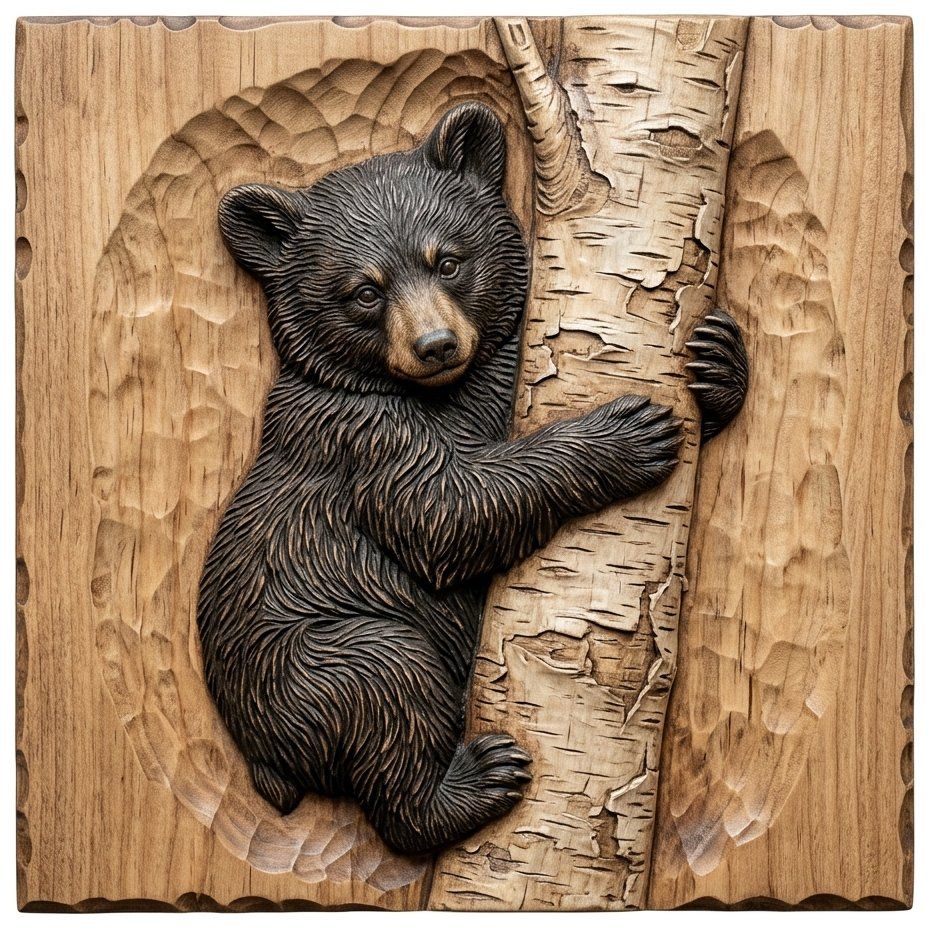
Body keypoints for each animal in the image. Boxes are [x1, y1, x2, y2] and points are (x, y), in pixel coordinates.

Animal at [197, 101, 748, 856]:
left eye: (449, 259)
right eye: (363, 291)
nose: (436, 346)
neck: (438, 391)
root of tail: (262, 755)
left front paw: (717, 360)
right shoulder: (361, 436)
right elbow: (447, 511)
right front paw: (627, 433)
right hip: (308, 662)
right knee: (387, 688)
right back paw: (473, 780)